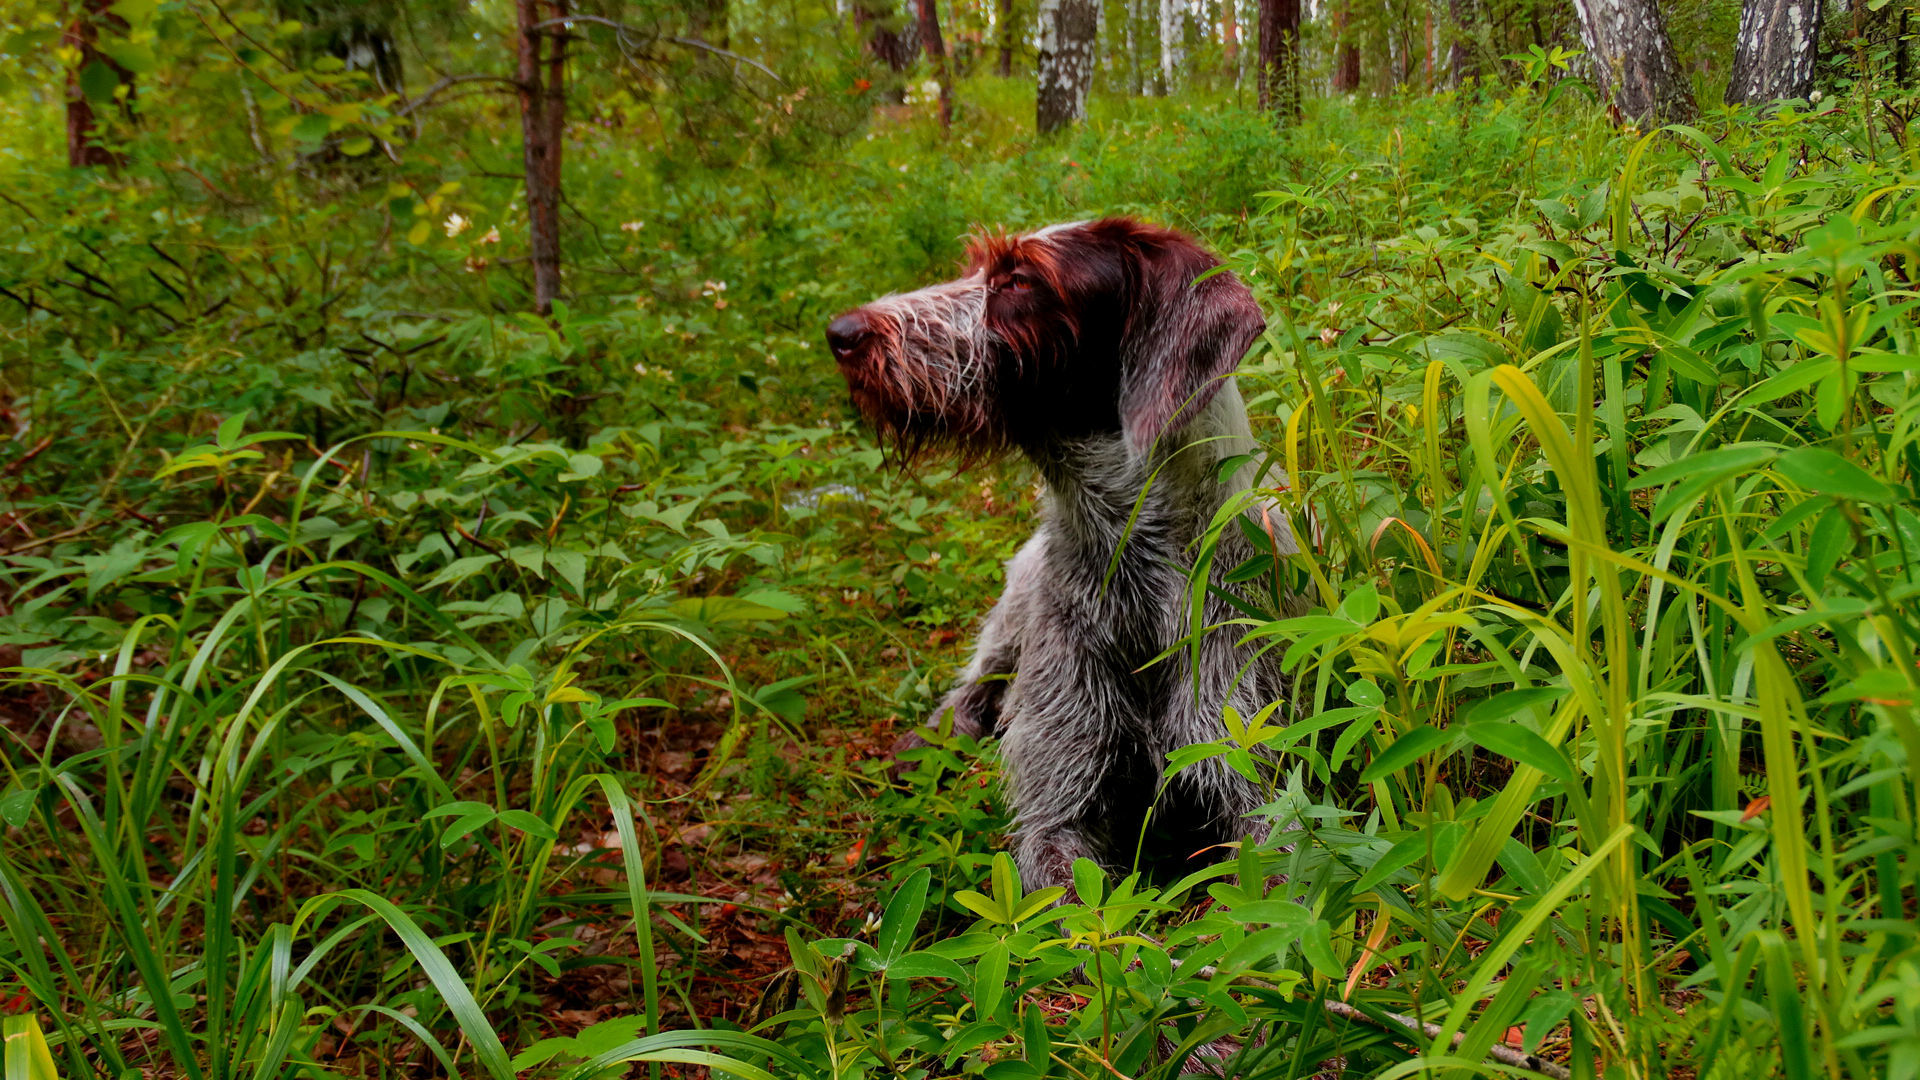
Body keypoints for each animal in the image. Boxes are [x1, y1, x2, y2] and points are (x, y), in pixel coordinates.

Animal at [829, 219, 1305, 891]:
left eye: (1020, 279)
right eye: (974, 268)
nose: (841, 333)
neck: (1130, 560)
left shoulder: (1256, 779)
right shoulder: (1053, 819)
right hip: (1009, 623)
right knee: (971, 688)